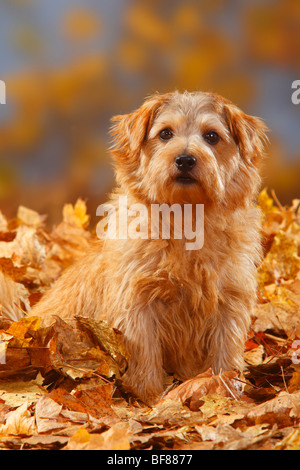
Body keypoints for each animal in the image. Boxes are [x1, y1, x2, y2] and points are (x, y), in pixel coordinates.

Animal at [22, 92, 268, 404]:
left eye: (212, 136)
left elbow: (226, 354)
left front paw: (226, 392)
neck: (187, 218)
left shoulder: (230, 302)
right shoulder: (137, 303)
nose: (185, 159)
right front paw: (149, 399)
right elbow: (145, 354)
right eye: (165, 133)